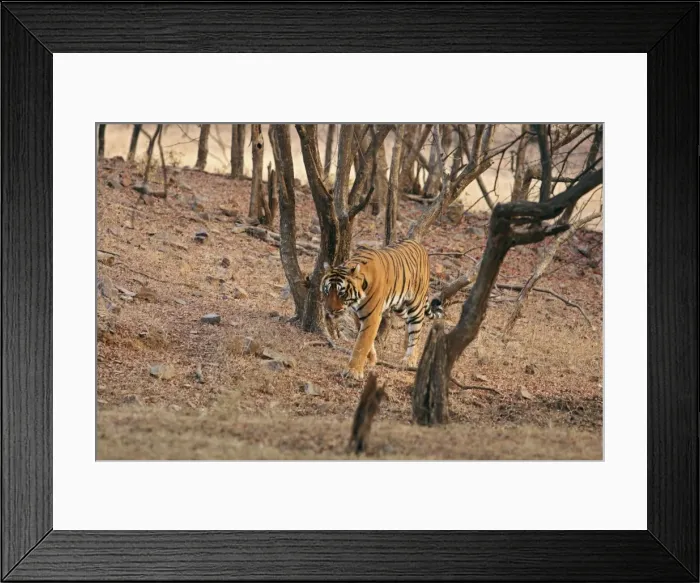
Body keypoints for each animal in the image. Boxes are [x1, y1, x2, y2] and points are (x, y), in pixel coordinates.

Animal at [320, 238, 444, 381]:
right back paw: (406, 347)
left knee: (417, 327)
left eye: (341, 293)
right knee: (409, 324)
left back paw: (410, 358)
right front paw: (371, 359)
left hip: (416, 303)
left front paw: (353, 371)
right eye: (327, 291)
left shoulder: (372, 316)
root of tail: (420, 245)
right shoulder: (358, 315)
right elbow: (366, 340)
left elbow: (362, 343)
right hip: (400, 306)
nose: (330, 310)